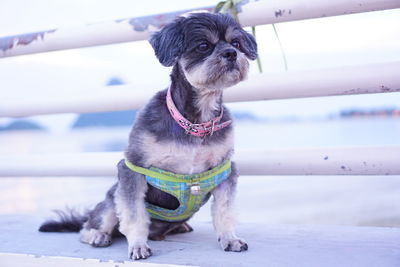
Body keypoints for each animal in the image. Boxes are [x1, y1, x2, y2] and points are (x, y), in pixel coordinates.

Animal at [39, 12, 258, 262]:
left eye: (236, 43)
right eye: (203, 46)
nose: (231, 54)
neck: (194, 122)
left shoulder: (223, 172)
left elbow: (224, 211)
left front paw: (230, 238)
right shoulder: (133, 169)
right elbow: (134, 215)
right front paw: (137, 245)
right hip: (111, 199)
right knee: (91, 225)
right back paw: (98, 235)